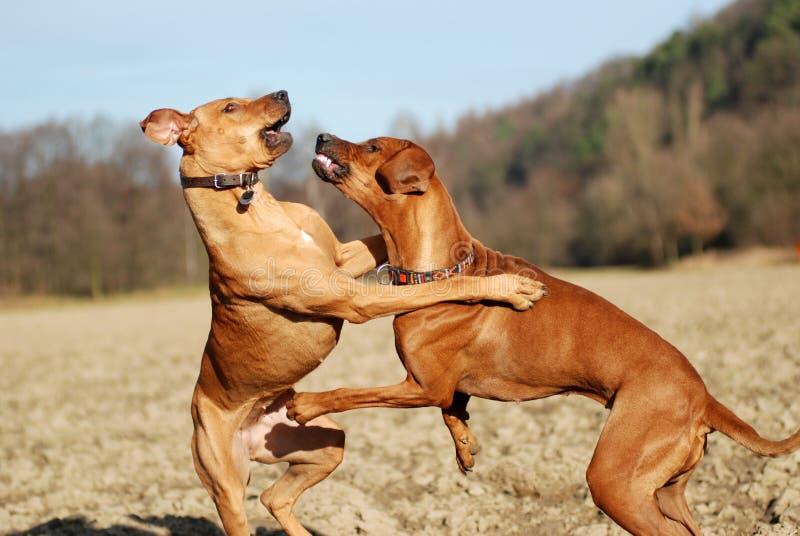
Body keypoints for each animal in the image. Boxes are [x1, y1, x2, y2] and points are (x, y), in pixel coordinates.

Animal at [141, 94, 548, 532]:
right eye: (230, 107)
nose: (282, 93)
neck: (254, 210)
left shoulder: (342, 257)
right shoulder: (355, 299)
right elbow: (438, 287)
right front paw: (511, 286)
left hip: (324, 443)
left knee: (274, 497)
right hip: (226, 486)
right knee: (245, 504)